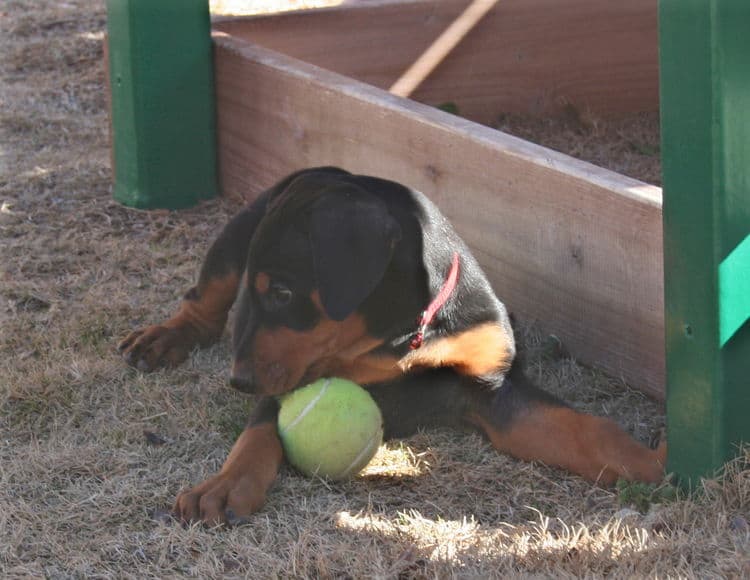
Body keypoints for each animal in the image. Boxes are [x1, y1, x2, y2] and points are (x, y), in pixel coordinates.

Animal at [119, 167, 668, 524]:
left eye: (283, 293)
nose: (240, 381)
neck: (401, 333)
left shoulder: (493, 388)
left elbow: (588, 431)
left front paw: (654, 462)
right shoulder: (292, 376)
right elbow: (258, 433)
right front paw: (224, 486)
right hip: (238, 234)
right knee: (205, 296)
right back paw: (162, 338)